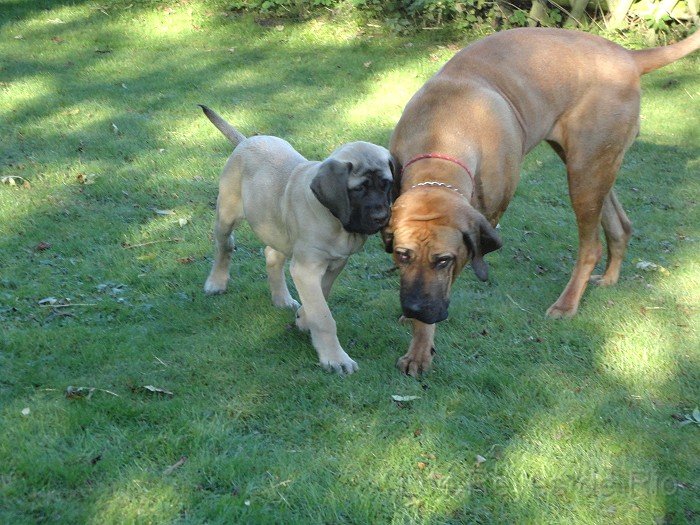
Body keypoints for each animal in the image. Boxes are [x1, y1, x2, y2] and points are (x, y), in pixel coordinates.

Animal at [201, 105, 394, 372]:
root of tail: (247, 140)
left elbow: (322, 295)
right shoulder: (307, 268)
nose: (381, 217)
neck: (334, 220)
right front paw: (335, 358)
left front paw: (303, 318)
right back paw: (216, 282)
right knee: (224, 246)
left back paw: (281, 298)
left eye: (386, 184)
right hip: (227, 214)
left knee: (271, 254)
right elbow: (323, 315)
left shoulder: (335, 263)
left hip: (277, 227)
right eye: (359, 189)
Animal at [386, 28, 696, 374]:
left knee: (591, 246)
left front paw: (420, 346)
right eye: (402, 255)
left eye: (443, 260)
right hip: (593, 164)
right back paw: (610, 278)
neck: (440, 138)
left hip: (585, 172)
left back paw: (567, 303)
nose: (415, 308)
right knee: (620, 224)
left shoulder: (479, 229)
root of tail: (628, 57)